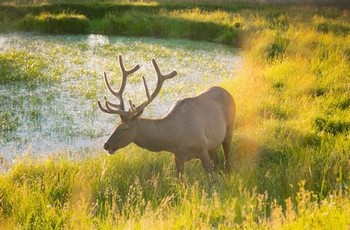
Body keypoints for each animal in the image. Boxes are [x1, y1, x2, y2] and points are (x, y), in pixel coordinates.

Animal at [98, 54, 235, 175]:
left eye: (126, 128)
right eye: (117, 124)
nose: (106, 145)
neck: (174, 139)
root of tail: (227, 91)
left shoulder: (202, 148)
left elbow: (211, 178)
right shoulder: (178, 156)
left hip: (229, 129)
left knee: (226, 160)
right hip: (212, 145)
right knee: (217, 161)